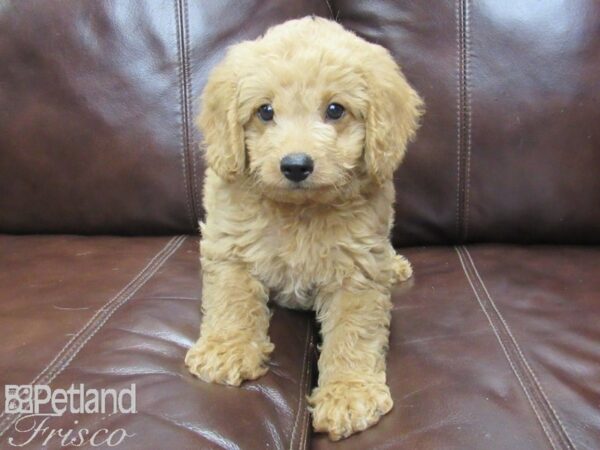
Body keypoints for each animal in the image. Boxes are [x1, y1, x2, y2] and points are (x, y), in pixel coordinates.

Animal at [185, 16, 424, 440]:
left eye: (335, 110)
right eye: (265, 112)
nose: (296, 165)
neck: (300, 212)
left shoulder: (358, 270)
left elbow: (352, 333)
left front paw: (347, 394)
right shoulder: (229, 247)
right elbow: (232, 300)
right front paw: (226, 350)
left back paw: (395, 265)